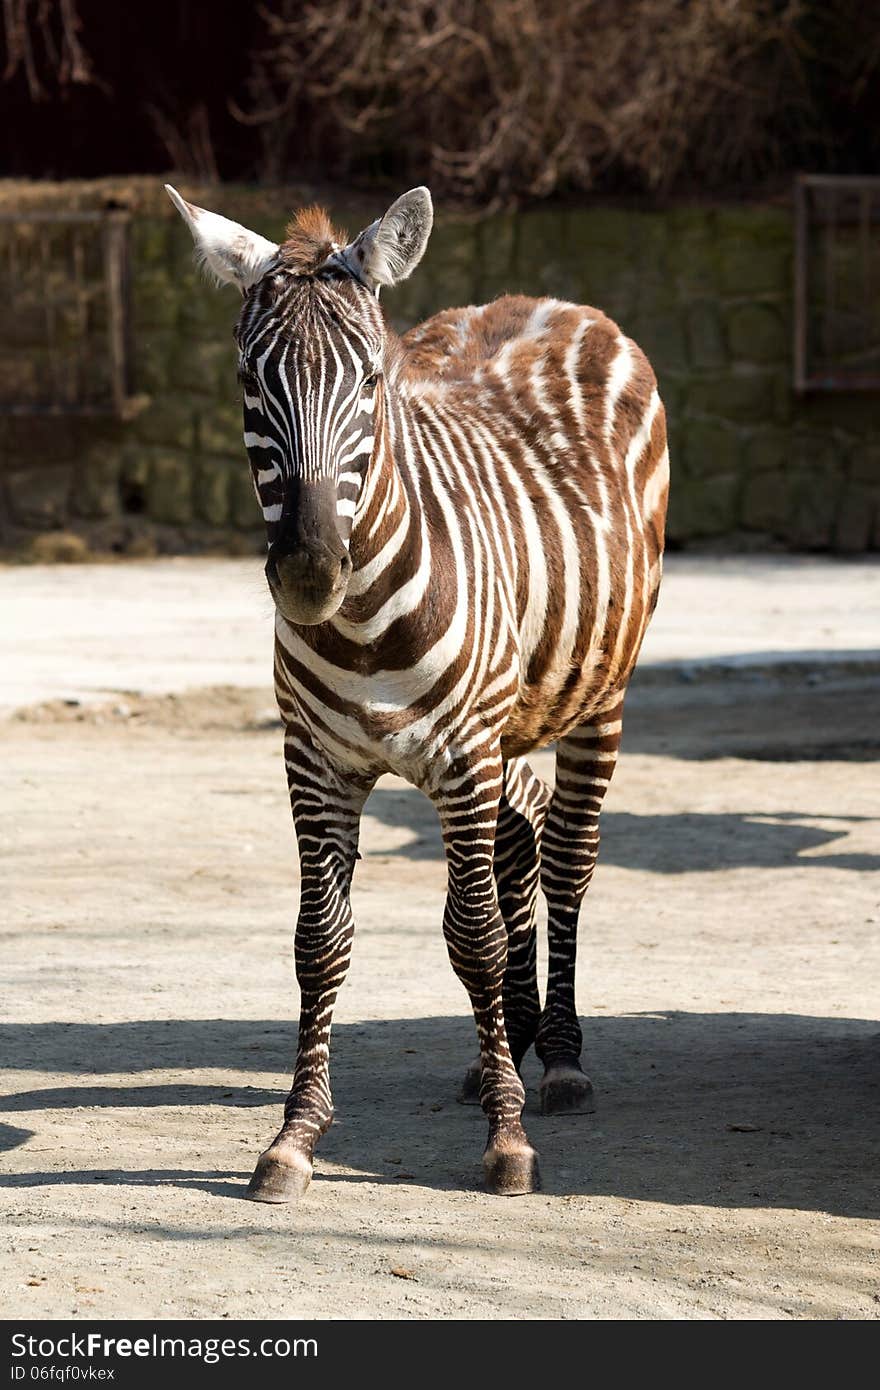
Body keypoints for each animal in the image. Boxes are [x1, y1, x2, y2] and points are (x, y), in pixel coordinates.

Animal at [168, 184, 670, 1200]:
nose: (309, 574)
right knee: (522, 842)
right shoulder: (316, 763)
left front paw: (508, 1140)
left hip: (595, 698)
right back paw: (503, 1045)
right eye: (249, 380)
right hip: (510, 722)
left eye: (370, 382)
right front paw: (295, 1136)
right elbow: (319, 940)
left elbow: (471, 932)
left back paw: (557, 1059)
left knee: (565, 859)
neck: (363, 624)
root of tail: (553, 300)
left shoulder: (463, 756)